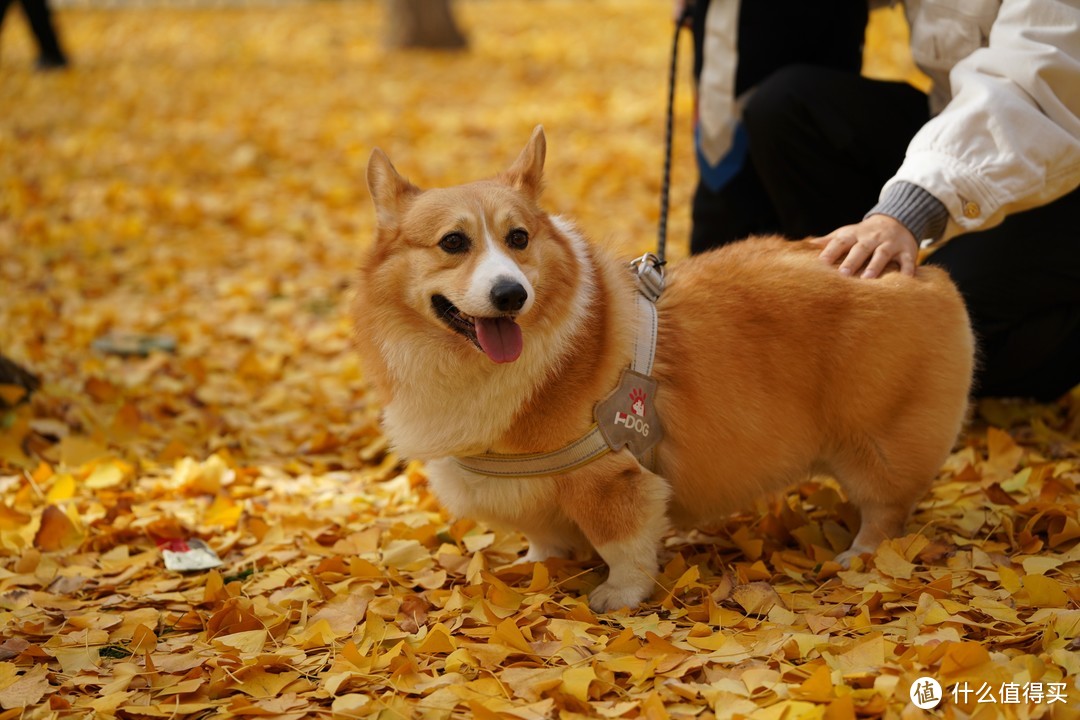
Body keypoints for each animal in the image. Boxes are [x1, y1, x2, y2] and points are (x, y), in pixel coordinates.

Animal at [356, 126, 980, 613]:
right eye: (453, 242)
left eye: (518, 238)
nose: (511, 295)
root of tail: (920, 269)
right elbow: (543, 538)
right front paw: (539, 564)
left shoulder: (613, 479)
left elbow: (624, 546)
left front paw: (619, 597)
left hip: (876, 444)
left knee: (886, 510)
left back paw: (860, 556)